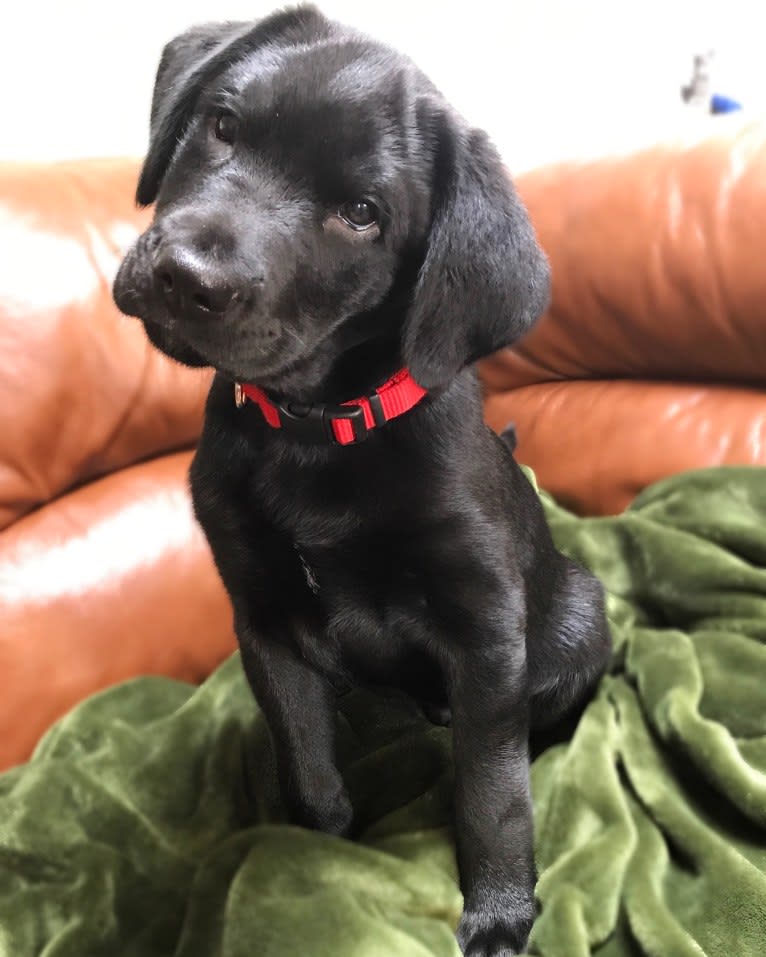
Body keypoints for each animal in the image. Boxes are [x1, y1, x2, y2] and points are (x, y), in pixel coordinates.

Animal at [112, 5, 612, 948]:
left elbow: (493, 792)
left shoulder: (486, 630)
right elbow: (307, 764)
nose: (186, 278)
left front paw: (501, 911)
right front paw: (317, 854)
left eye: (361, 214)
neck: (318, 434)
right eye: (222, 125)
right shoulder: (265, 621)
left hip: (573, 616)